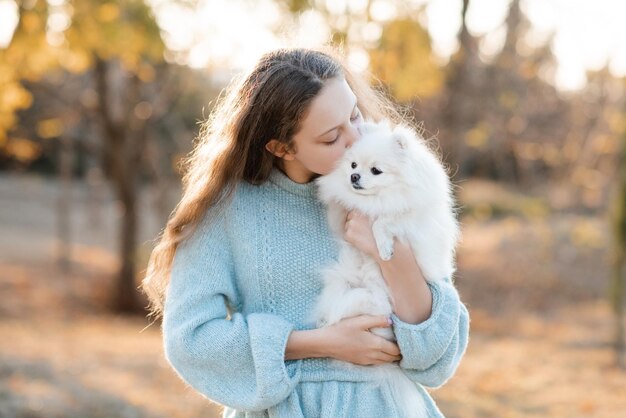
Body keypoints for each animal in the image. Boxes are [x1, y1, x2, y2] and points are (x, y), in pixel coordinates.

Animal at [308, 119, 458, 418]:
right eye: (353, 164)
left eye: (375, 170)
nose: (354, 177)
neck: (378, 199)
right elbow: (341, 210)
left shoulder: (408, 217)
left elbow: (384, 221)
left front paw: (384, 247)